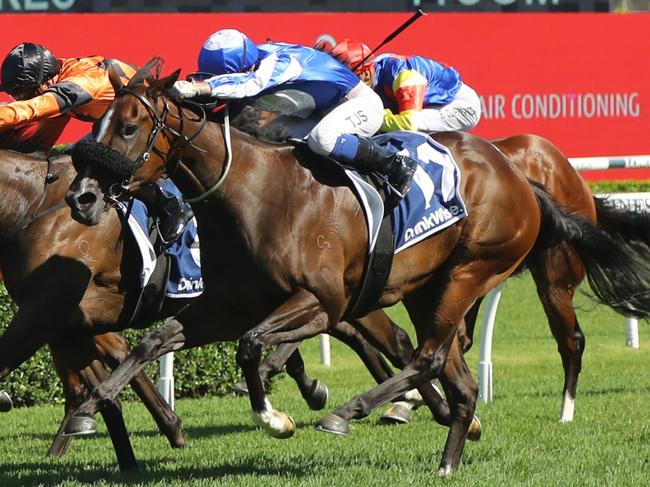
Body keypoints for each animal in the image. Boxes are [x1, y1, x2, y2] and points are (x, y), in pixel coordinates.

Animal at [64, 59, 650, 474]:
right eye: (98, 123)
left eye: (130, 127)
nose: (82, 196)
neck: (256, 192)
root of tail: (518, 174)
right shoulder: (228, 306)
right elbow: (154, 340)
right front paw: (90, 406)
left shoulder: (323, 302)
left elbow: (252, 346)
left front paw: (276, 417)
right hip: (429, 286)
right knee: (452, 371)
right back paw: (448, 459)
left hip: (473, 270)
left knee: (432, 356)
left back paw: (350, 412)